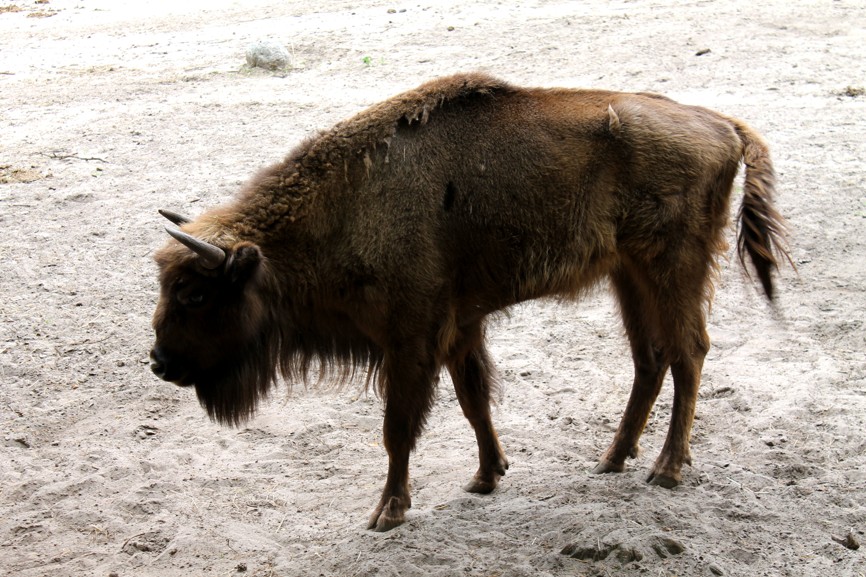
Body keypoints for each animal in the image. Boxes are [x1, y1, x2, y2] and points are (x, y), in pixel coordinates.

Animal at [150, 72, 788, 532]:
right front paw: (486, 477)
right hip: (627, 274)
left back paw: (666, 469)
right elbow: (473, 399)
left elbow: (399, 426)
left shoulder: (412, 339)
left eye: (195, 292)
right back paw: (612, 458)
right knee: (650, 359)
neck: (350, 204)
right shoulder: (459, 330)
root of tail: (724, 125)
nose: (158, 362)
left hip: (672, 268)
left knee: (688, 353)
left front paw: (387, 512)